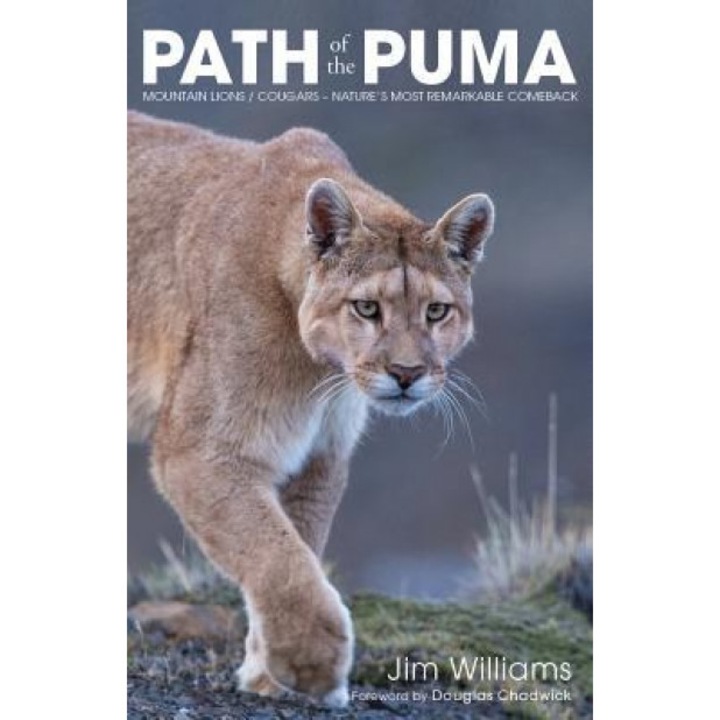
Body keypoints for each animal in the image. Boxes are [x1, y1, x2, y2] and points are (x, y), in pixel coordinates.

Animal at [127, 110, 495, 706]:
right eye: (367, 308)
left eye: (437, 311)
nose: (408, 373)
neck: (318, 371)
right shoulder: (199, 453)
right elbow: (277, 556)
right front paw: (311, 664)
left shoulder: (319, 455)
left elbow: (296, 545)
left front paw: (266, 674)